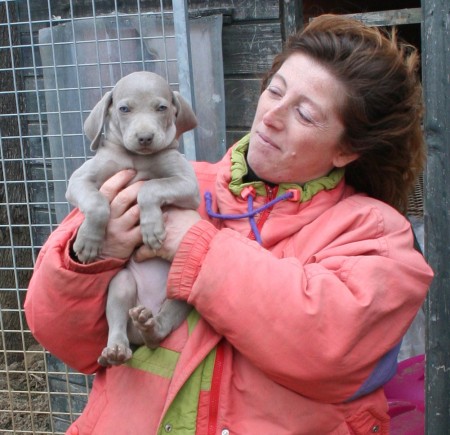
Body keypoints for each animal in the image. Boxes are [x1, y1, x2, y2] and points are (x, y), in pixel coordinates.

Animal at [66, 72, 200, 368]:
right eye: (124, 109)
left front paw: (152, 230)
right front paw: (88, 243)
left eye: (161, 107)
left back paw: (149, 327)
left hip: (180, 295)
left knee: (158, 331)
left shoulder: (189, 186)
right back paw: (115, 350)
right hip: (122, 284)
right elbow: (98, 203)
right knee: (117, 324)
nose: (145, 138)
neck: (137, 159)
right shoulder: (79, 180)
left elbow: (150, 187)